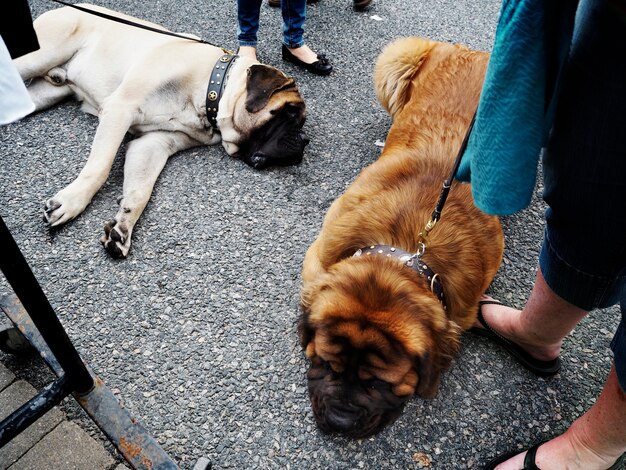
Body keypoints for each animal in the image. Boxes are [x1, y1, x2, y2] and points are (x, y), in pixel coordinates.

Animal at [296, 38, 502, 438]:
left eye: (378, 384)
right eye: (327, 365)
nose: (340, 422)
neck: (404, 252)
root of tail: (472, 50)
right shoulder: (319, 256)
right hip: (397, 58)